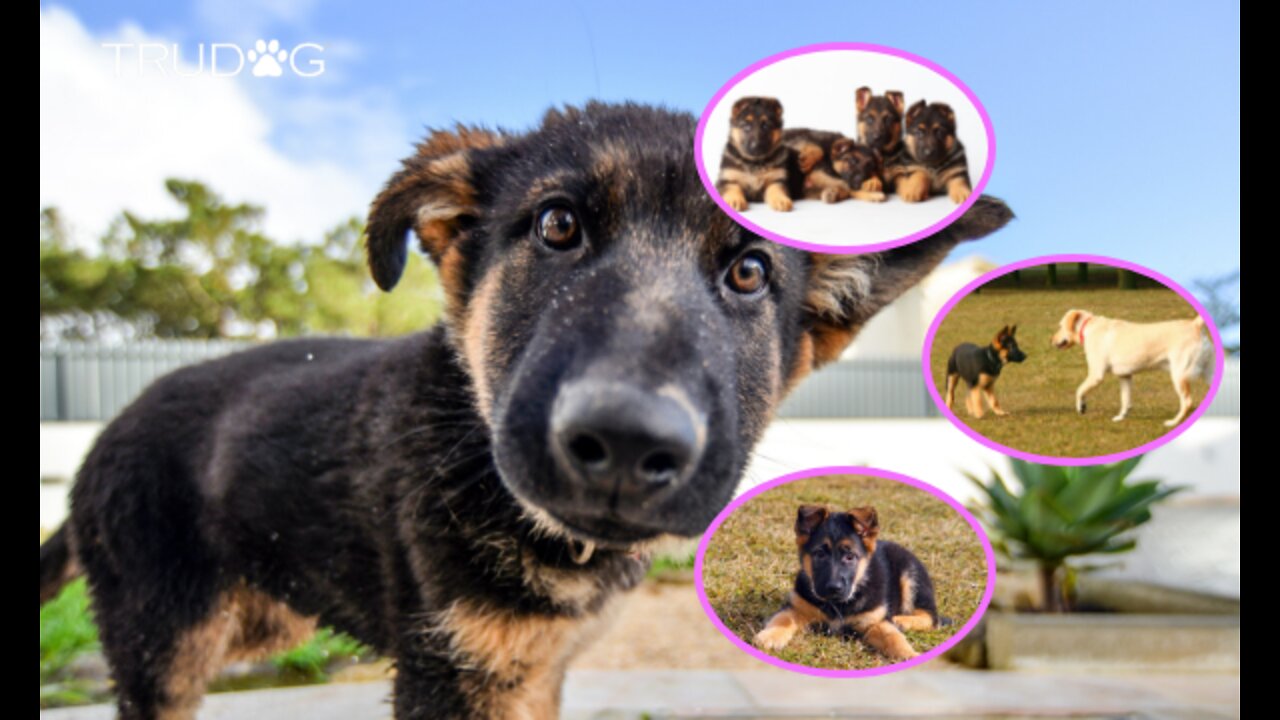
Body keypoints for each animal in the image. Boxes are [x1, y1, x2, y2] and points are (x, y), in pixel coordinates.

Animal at [752, 502, 947, 661]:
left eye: (850, 557)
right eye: (819, 554)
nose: (834, 588)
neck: (837, 605)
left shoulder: (875, 621)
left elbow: (894, 638)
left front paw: (910, 655)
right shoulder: (797, 608)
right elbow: (782, 620)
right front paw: (768, 637)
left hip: (911, 578)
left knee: (932, 617)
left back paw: (901, 620)